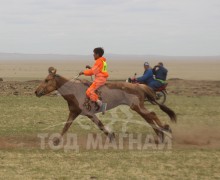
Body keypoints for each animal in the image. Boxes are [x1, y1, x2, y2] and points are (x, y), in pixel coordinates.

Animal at [35, 67, 176, 145]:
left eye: (47, 80)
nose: (36, 91)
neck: (74, 91)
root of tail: (139, 85)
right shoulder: (75, 112)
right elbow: (66, 127)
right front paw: (56, 141)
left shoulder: (89, 113)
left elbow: (100, 125)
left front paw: (111, 137)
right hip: (138, 107)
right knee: (149, 117)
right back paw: (160, 135)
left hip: (136, 106)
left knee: (151, 115)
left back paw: (165, 129)